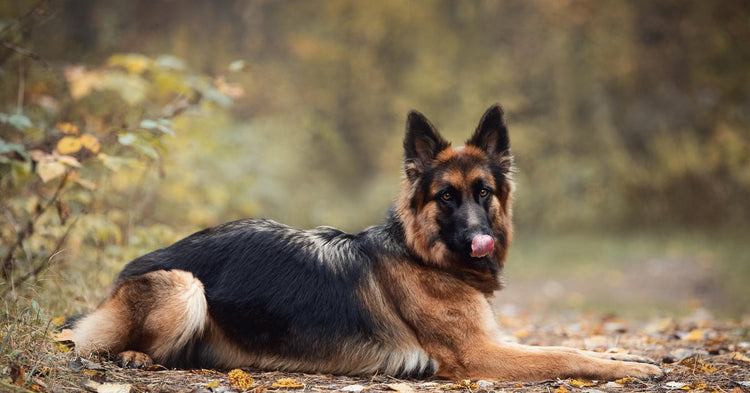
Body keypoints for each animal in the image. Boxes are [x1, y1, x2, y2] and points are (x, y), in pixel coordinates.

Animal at [72, 103, 664, 380]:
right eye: (446, 197)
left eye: (483, 192)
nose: (479, 240)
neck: (423, 255)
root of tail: (127, 270)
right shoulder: (479, 355)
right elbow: (563, 352)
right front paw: (631, 368)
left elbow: (570, 346)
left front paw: (629, 354)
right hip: (184, 285)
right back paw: (135, 357)